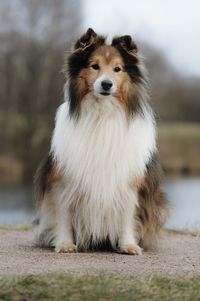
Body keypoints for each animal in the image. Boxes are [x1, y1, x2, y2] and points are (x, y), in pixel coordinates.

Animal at [34, 28, 169, 253]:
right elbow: (63, 214)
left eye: (117, 69)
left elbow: (127, 216)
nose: (106, 84)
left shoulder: (129, 182)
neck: (103, 112)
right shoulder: (63, 179)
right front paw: (65, 244)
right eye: (94, 66)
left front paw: (128, 245)